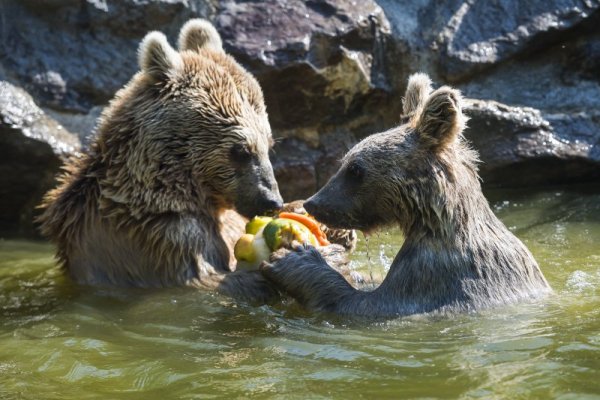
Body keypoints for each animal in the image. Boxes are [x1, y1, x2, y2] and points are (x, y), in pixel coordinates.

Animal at [260, 73, 552, 318]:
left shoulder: (433, 277)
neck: (432, 219)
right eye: (345, 162)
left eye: (355, 169)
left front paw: (296, 257)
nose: (314, 203)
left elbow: (365, 305)